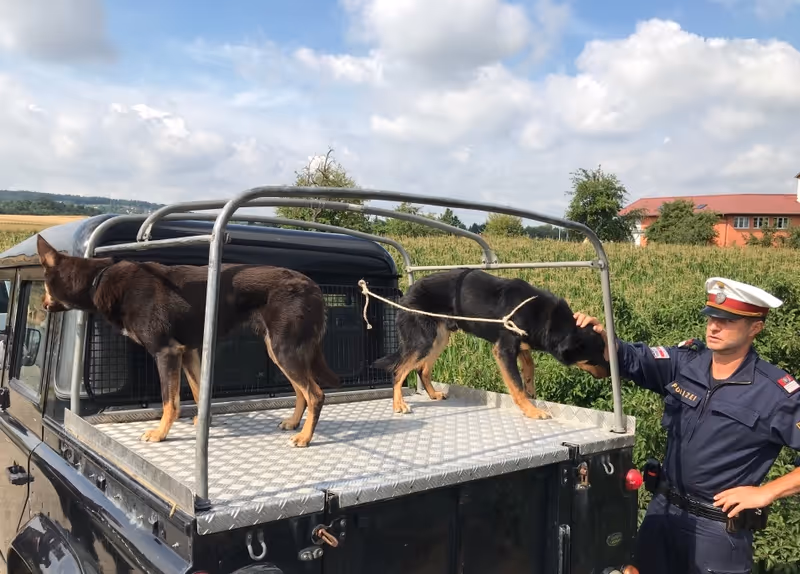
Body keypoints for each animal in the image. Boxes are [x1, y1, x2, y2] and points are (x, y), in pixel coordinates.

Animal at [36, 234, 340, 447]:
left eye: (45, 284)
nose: (41, 305)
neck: (97, 280)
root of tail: (314, 287)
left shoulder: (166, 352)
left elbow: (169, 402)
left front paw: (160, 433)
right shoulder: (190, 352)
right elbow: (196, 392)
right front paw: (203, 422)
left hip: (284, 349)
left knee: (316, 394)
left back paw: (305, 438)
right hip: (278, 350)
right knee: (301, 391)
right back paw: (294, 423)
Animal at [373, 269, 610, 419]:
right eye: (593, 359)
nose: (610, 373)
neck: (549, 319)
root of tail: (407, 294)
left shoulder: (519, 345)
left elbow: (529, 368)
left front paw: (531, 390)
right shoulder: (504, 350)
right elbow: (516, 385)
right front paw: (532, 411)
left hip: (438, 339)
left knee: (422, 369)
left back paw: (433, 394)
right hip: (422, 341)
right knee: (399, 371)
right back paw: (399, 404)